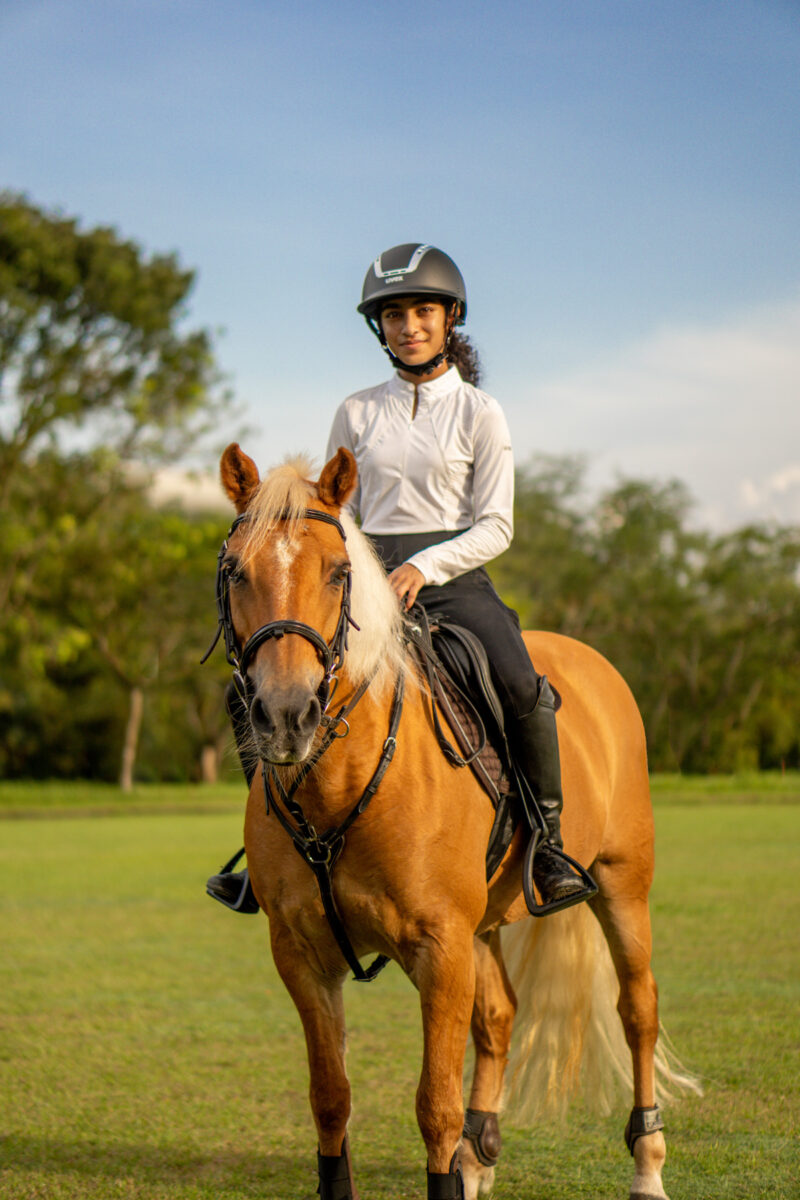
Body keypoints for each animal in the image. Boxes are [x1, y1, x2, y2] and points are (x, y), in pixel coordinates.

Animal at [208, 441, 699, 1200]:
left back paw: (648, 1164)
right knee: (499, 1017)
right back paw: (480, 1156)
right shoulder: (302, 955)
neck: (338, 786)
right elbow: (331, 1099)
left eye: (339, 572)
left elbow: (434, 1107)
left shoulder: (439, 949)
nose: (287, 715)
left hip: (623, 885)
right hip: (486, 923)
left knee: (637, 1008)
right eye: (235, 571)